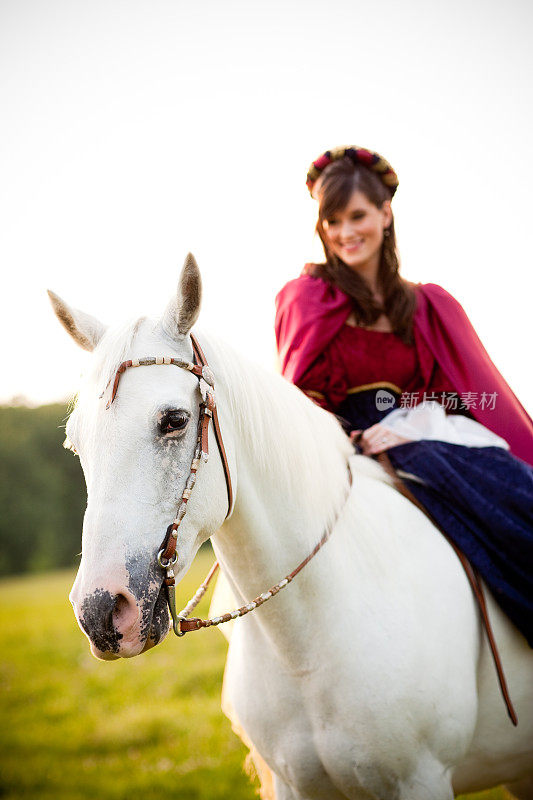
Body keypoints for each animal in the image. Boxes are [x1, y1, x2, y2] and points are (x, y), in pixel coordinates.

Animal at [50, 256, 532, 800]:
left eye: (174, 420)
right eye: (76, 442)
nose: (101, 612)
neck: (304, 646)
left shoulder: (419, 780)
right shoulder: (293, 784)